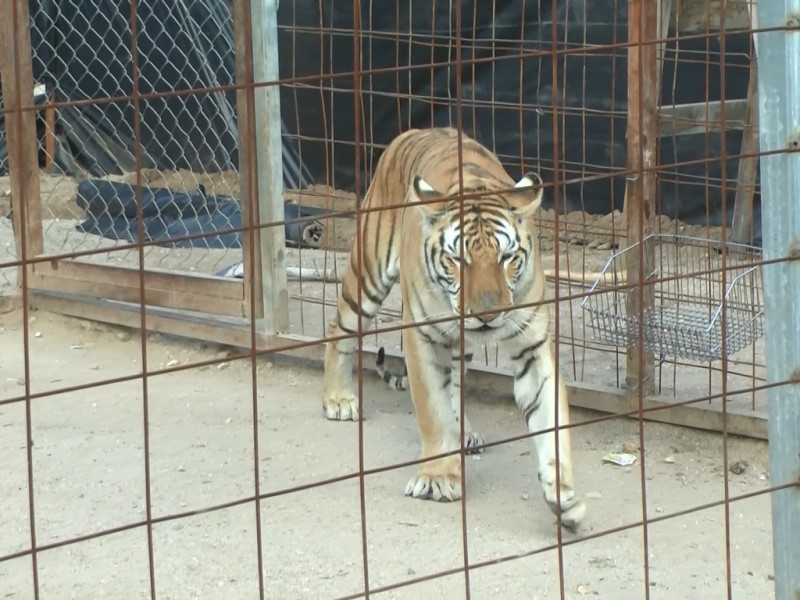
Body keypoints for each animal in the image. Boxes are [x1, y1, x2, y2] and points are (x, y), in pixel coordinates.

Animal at [320, 126, 588, 528]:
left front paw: (565, 497)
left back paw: (467, 433)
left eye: (507, 257)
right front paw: (437, 478)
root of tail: (420, 129)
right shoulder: (422, 338)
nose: (488, 315)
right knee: (340, 328)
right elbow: (433, 410)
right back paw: (338, 399)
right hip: (368, 271)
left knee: (457, 383)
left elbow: (550, 418)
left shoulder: (532, 347)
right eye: (458, 259)